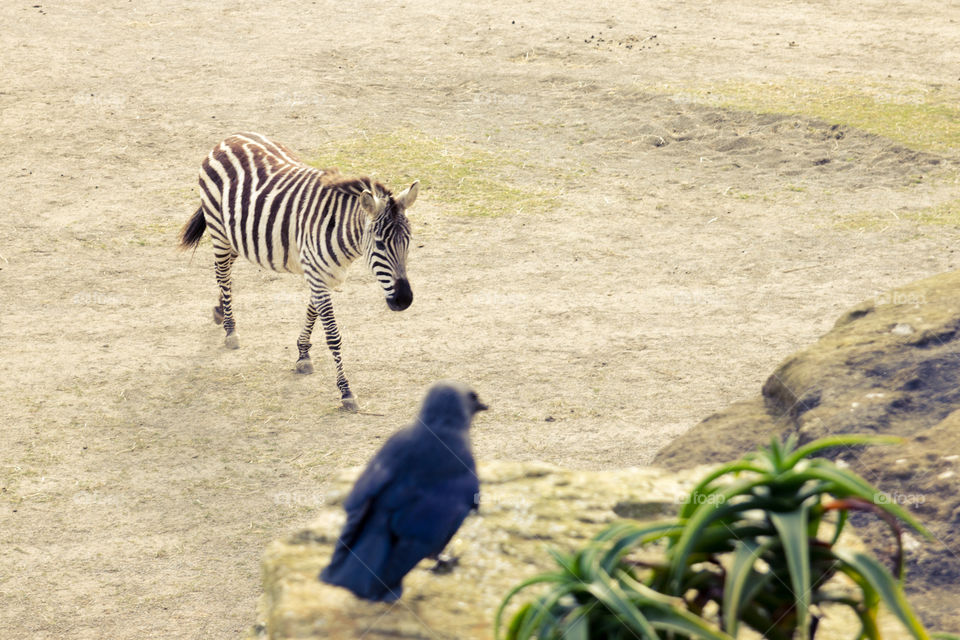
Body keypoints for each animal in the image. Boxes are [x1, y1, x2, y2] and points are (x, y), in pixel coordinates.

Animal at [179, 132, 418, 411]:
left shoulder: (323, 273)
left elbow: (311, 311)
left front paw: (303, 354)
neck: (341, 232)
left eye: (409, 241)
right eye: (379, 244)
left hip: (238, 231)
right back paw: (230, 329)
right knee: (222, 272)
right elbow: (333, 335)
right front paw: (346, 391)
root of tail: (230, 138)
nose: (404, 300)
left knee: (227, 267)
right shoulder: (317, 273)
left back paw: (219, 311)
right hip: (218, 228)